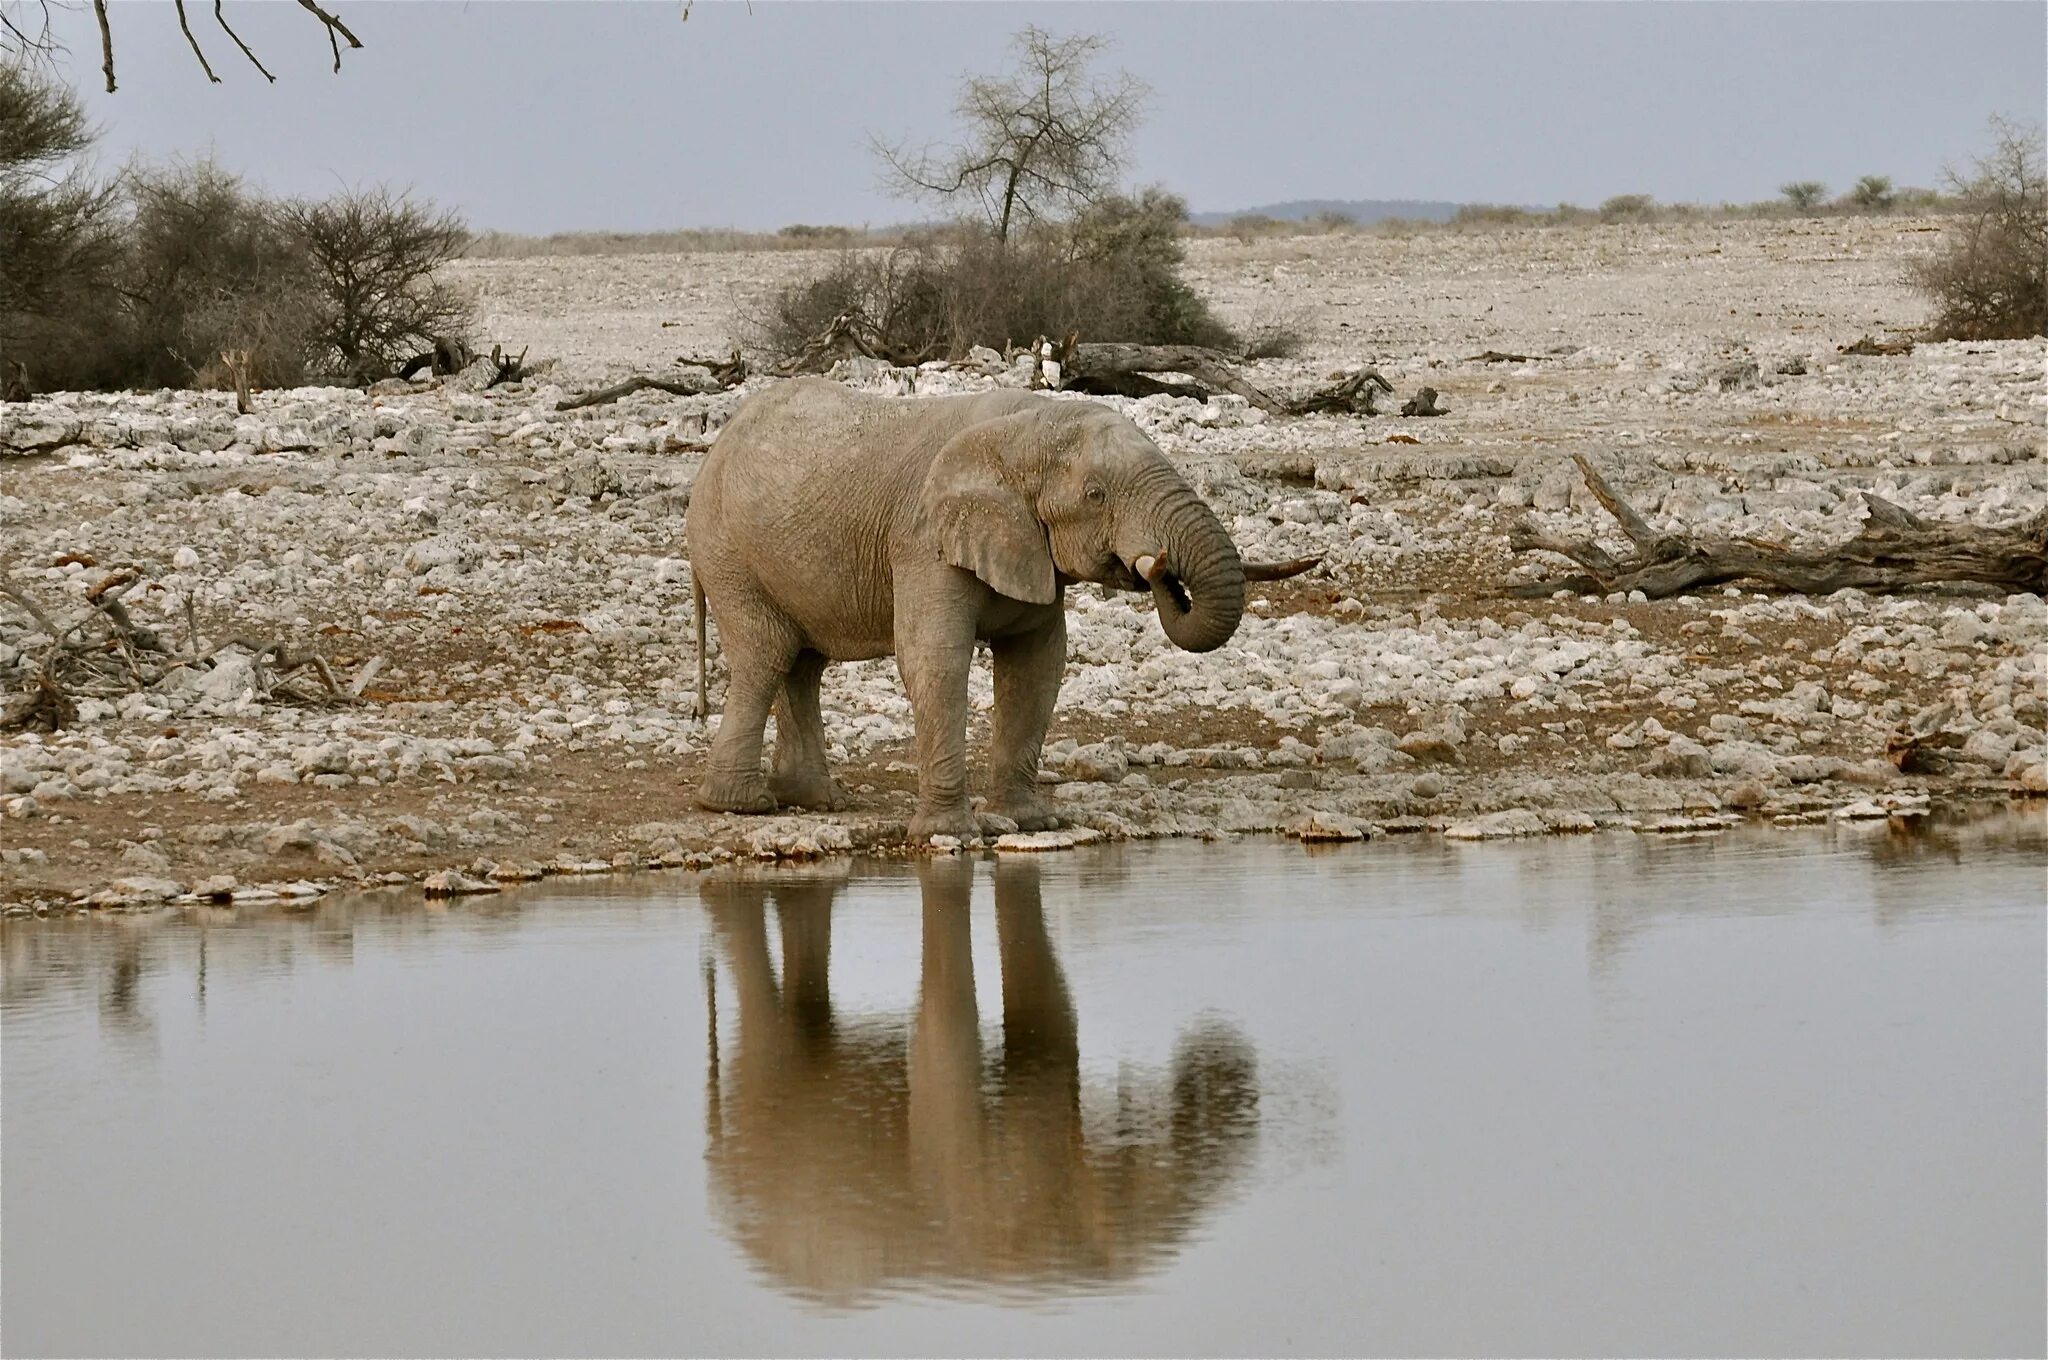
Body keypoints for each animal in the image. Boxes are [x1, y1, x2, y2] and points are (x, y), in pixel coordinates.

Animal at [688, 372, 1310, 839]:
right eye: (1095, 496)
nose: (1155, 565)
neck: (1026, 428)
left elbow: (1036, 664)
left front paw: (1031, 823)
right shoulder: (925, 540)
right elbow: (935, 659)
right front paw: (950, 835)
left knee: (802, 663)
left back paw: (817, 801)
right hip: (726, 550)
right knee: (767, 654)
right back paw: (741, 806)